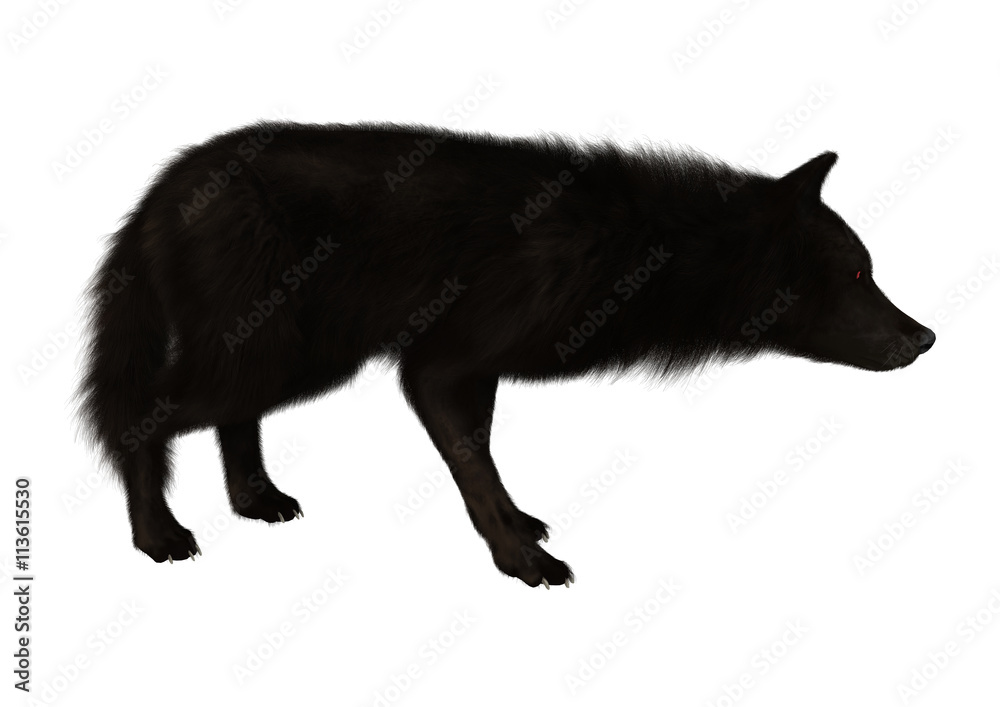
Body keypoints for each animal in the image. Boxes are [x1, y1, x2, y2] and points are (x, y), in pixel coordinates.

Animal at [77, 122, 935, 588]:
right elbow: (475, 468)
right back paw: (157, 536)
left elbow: (484, 457)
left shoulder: (475, 373)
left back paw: (258, 501)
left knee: (229, 419)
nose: (926, 337)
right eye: (860, 274)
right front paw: (521, 558)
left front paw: (521, 527)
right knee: (138, 418)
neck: (650, 248)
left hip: (288, 358)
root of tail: (163, 184)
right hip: (279, 356)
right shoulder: (438, 369)